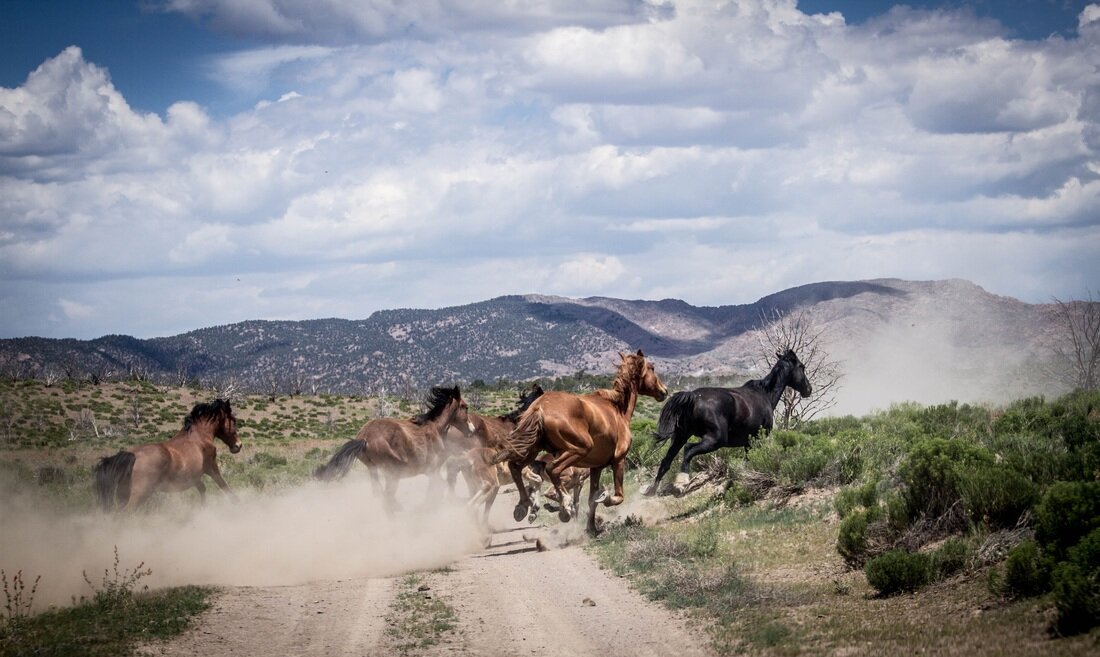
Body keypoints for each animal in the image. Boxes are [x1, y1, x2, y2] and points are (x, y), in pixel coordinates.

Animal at [94, 399, 242, 512]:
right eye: (233, 420)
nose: (238, 445)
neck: (199, 437)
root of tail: (132, 455)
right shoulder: (211, 467)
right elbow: (224, 486)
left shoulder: (193, 476)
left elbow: (202, 489)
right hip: (139, 495)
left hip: (123, 495)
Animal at [313, 385, 474, 513]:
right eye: (465, 407)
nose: (471, 429)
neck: (435, 428)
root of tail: (364, 438)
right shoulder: (432, 470)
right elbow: (437, 489)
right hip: (393, 472)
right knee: (387, 497)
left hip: (373, 470)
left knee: (380, 494)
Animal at [494, 350, 668, 534]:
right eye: (652, 368)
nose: (664, 391)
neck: (617, 410)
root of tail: (539, 407)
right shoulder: (618, 460)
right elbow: (618, 495)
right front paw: (604, 498)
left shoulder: (596, 467)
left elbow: (592, 500)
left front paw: (591, 528)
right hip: (579, 448)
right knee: (552, 469)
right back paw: (565, 506)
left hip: (533, 450)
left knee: (515, 467)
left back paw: (523, 506)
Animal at [642, 348, 812, 497]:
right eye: (801, 366)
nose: (808, 389)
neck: (765, 394)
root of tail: (693, 396)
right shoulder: (757, 440)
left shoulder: (748, 443)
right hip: (714, 440)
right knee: (688, 450)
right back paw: (681, 483)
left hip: (680, 436)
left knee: (666, 462)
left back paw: (650, 490)